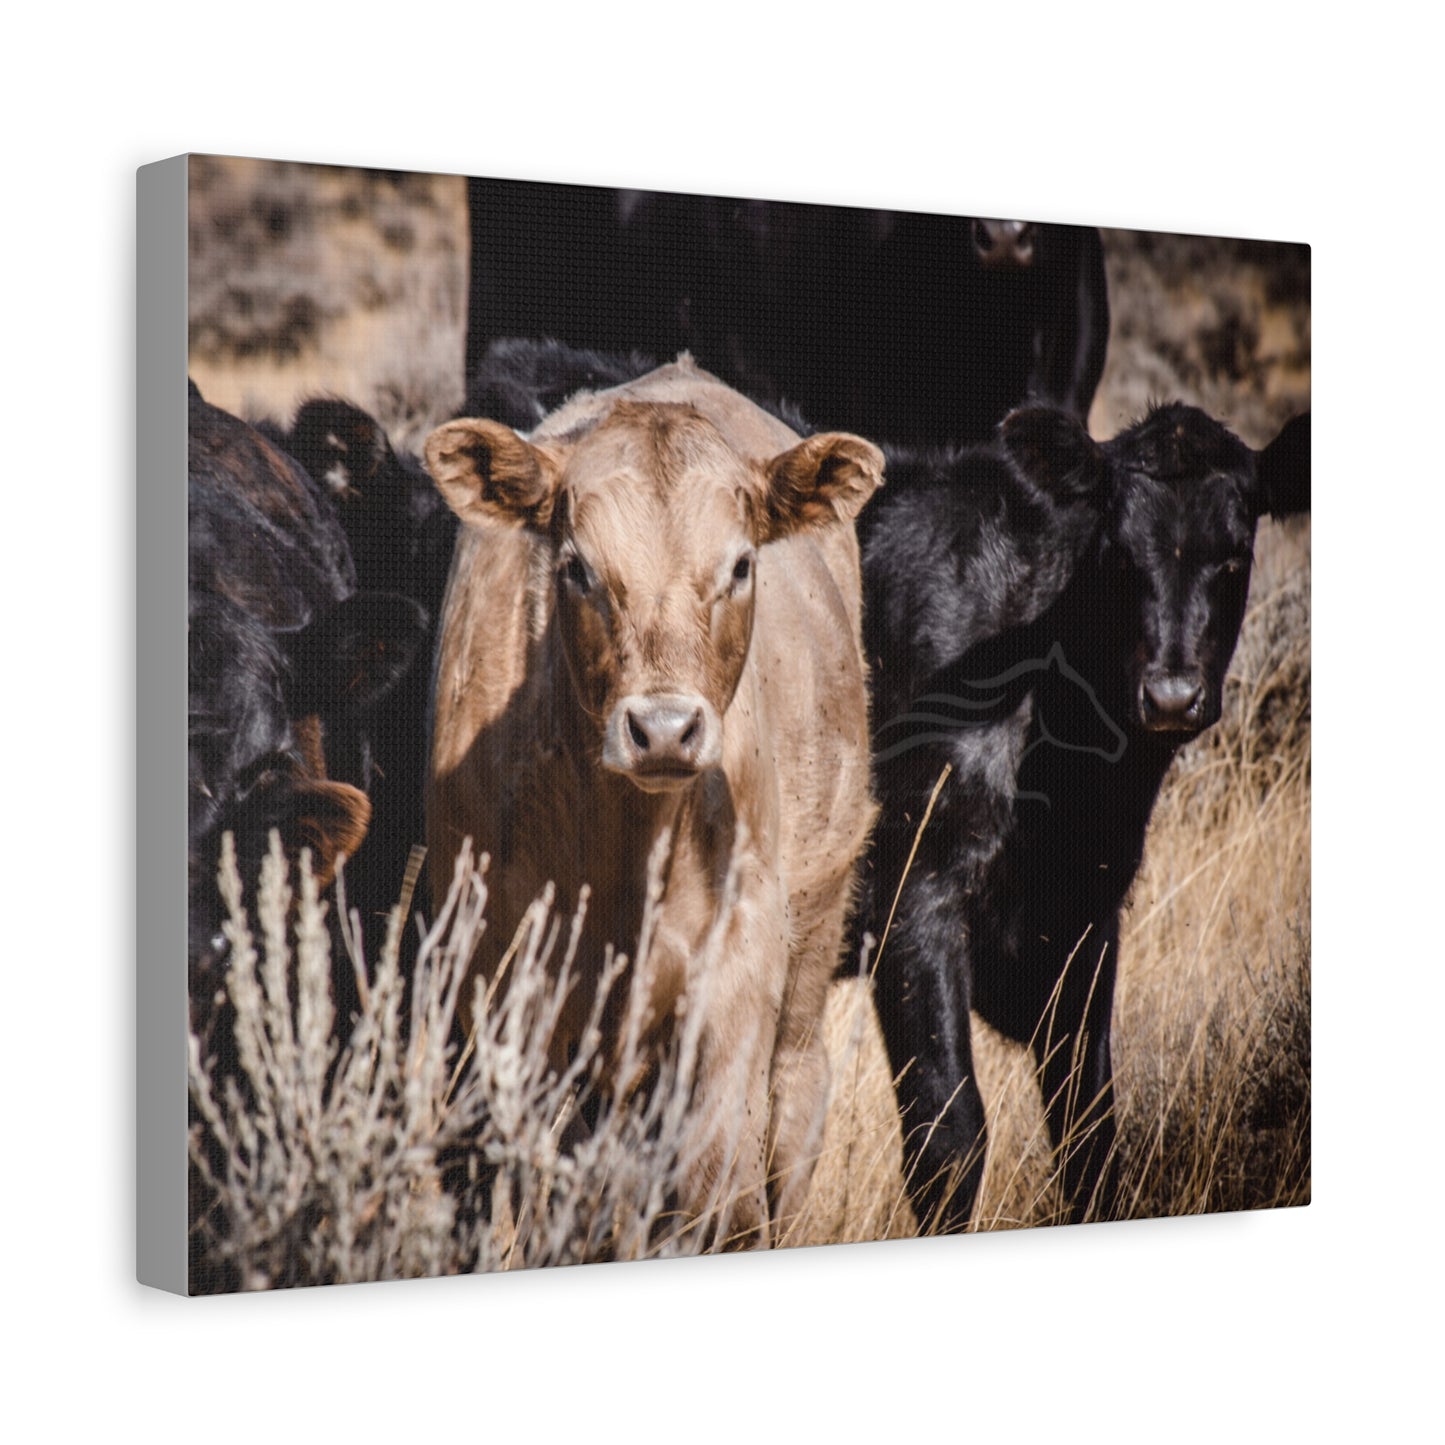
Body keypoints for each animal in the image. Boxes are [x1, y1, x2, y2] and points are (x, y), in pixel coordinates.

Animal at [424, 357, 883, 1245]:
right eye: (577, 567)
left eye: (739, 565)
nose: (664, 729)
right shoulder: (504, 989)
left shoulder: (735, 974)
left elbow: (718, 1196)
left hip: (810, 948)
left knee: (790, 1110)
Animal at [858, 403, 1310, 1230]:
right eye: (1118, 554)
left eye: (1234, 556)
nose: (1170, 695)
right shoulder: (912, 894)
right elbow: (949, 1135)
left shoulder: (1087, 918)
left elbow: (1089, 1132)